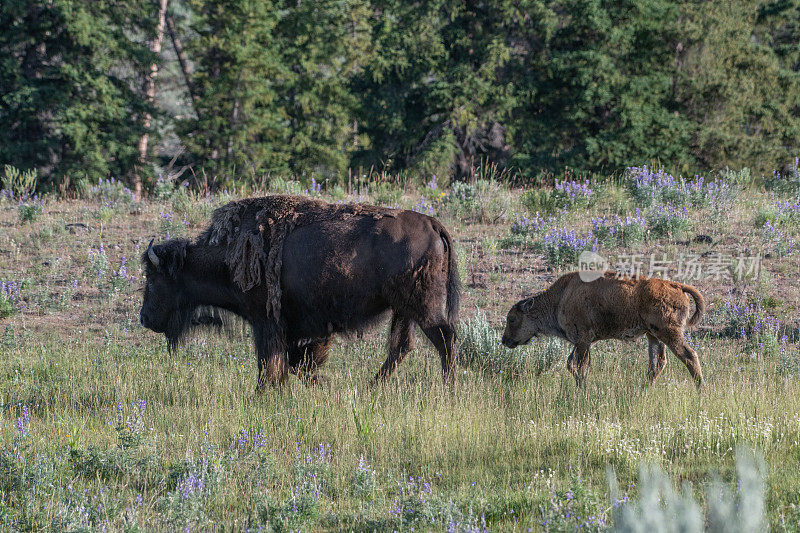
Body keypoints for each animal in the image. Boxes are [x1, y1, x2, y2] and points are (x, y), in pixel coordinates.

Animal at [141, 194, 460, 386]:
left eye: (153, 279)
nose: (144, 318)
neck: (229, 254)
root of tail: (433, 223)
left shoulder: (265, 322)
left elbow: (269, 362)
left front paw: (264, 393)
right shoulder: (290, 328)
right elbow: (291, 361)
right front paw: (313, 378)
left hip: (422, 306)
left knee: (444, 337)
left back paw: (448, 388)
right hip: (403, 309)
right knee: (402, 346)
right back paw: (373, 387)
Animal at [504, 272, 704, 388]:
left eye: (512, 318)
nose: (504, 340)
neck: (561, 297)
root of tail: (677, 286)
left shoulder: (583, 340)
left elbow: (581, 367)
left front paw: (582, 389)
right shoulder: (582, 342)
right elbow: (571, 364)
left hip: (669, 333)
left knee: (689, 356)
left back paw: (700, 389)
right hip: (653, 336)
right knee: (657, 363)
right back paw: (643, 389)